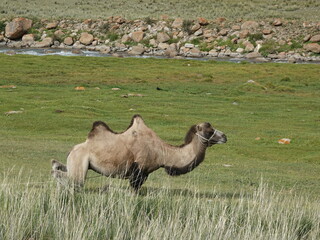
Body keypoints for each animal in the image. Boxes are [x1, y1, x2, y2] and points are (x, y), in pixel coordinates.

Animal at [51, 114, 228, 191]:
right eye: (209, 130)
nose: (225, 136)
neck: (162, 153)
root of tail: (72, 150)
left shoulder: (145, 172)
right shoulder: (139, 170)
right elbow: (134, 190)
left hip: (76, 163)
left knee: (57, 166)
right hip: (80, 162)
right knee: (70, 177)